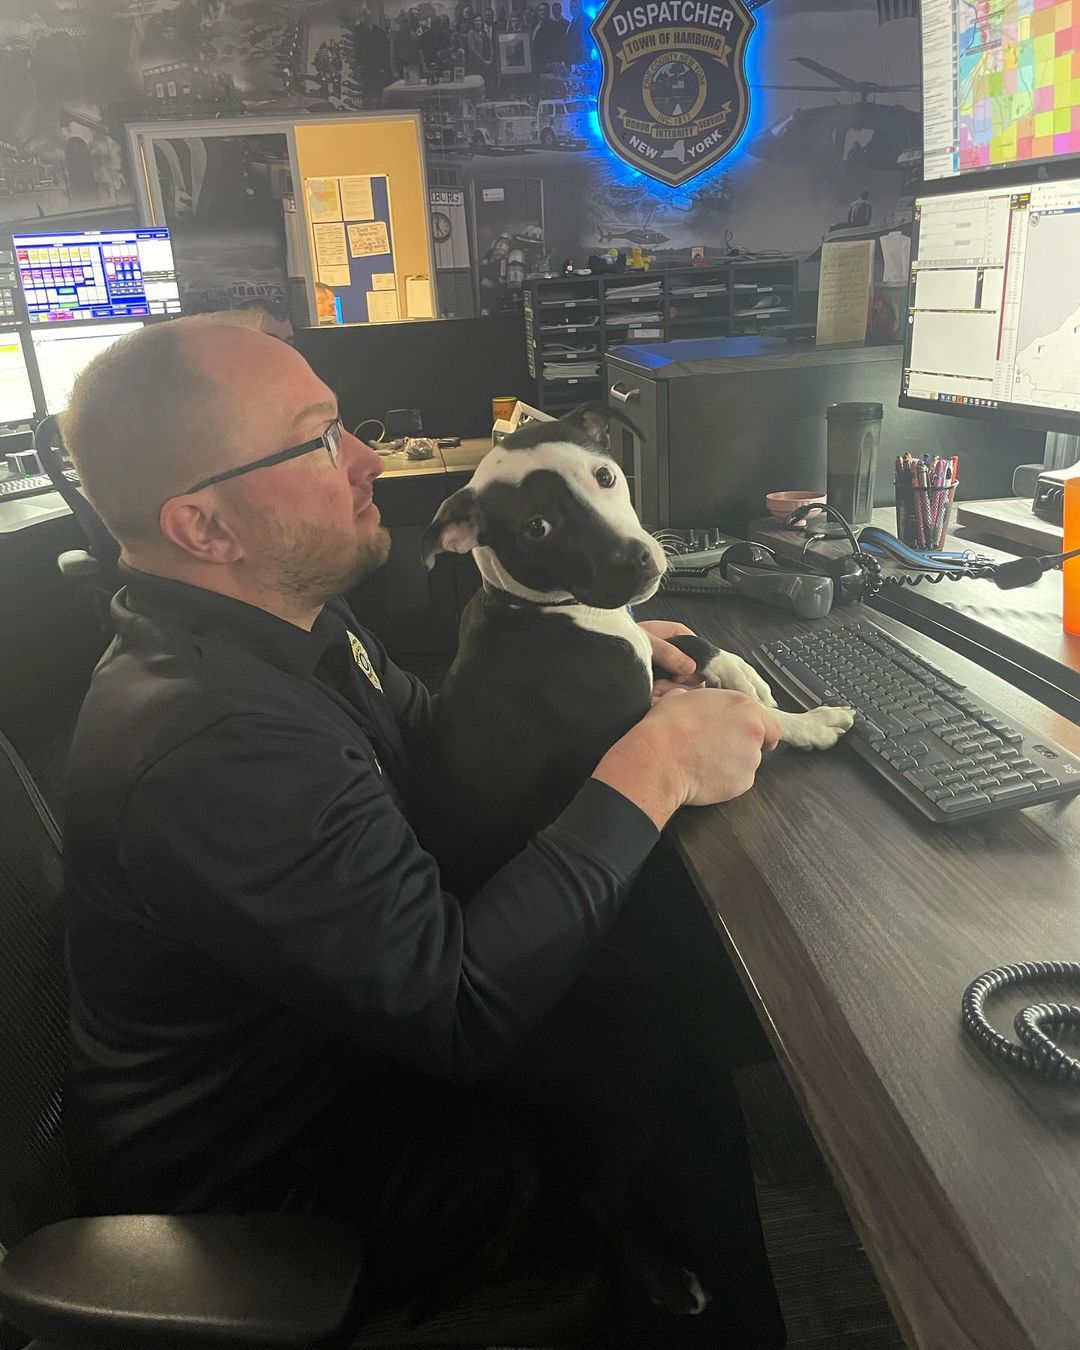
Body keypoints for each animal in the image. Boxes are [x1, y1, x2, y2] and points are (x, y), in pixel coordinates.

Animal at [418, 405, 847, 901]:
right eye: (536, 527)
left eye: (604, 475)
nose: (637, 560)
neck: (546, 607)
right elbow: (761, 715)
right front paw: (812, 722)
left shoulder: (638, 645)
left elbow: (678, 641)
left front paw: (739, 670)